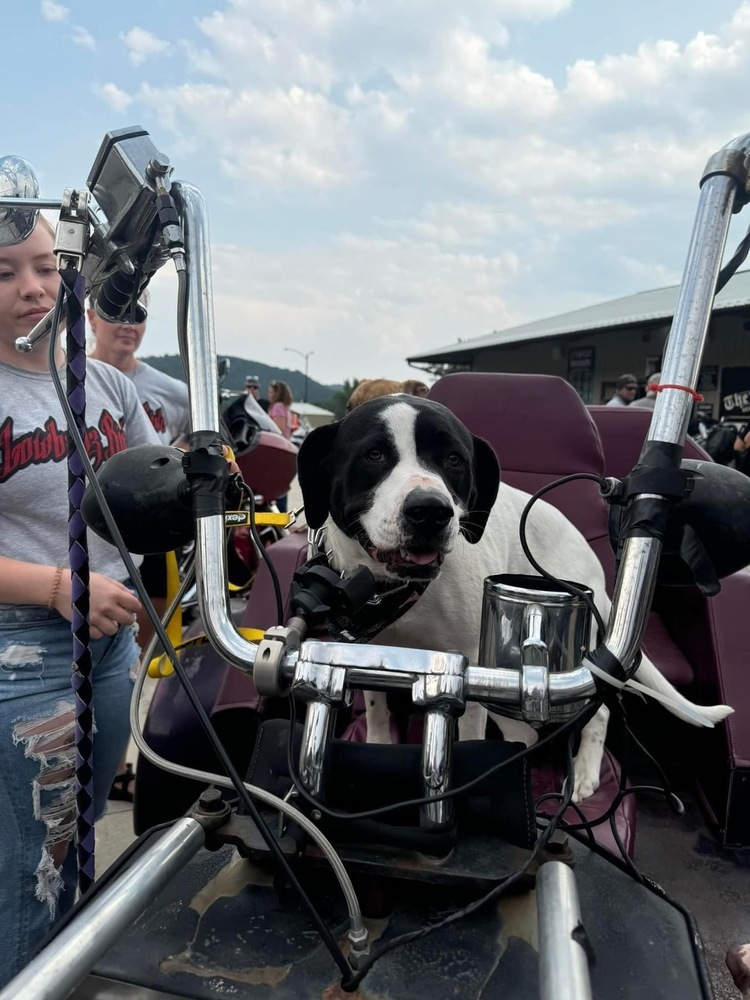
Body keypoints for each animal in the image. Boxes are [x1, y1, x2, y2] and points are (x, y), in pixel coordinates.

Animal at [298, 394, 736, 800]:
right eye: (374, 454)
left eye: (454, 460)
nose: (430, 511)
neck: (393, 590)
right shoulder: (368, 651)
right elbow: (376, 711)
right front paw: (378, 744)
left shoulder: (467, 669)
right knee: (525, 733)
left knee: (598, 713)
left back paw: (585, 771)